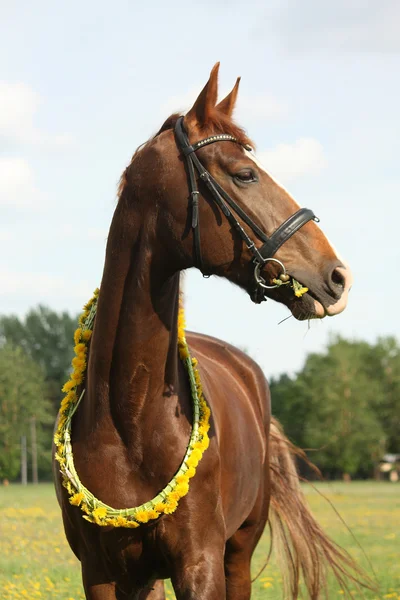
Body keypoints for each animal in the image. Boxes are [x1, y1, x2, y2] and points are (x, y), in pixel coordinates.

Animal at [53, 63, 362, 596]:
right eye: (245, 174)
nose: (337, 277)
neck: (130, 419)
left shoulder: (200, 564)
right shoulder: (100, 574)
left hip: (238, 553)